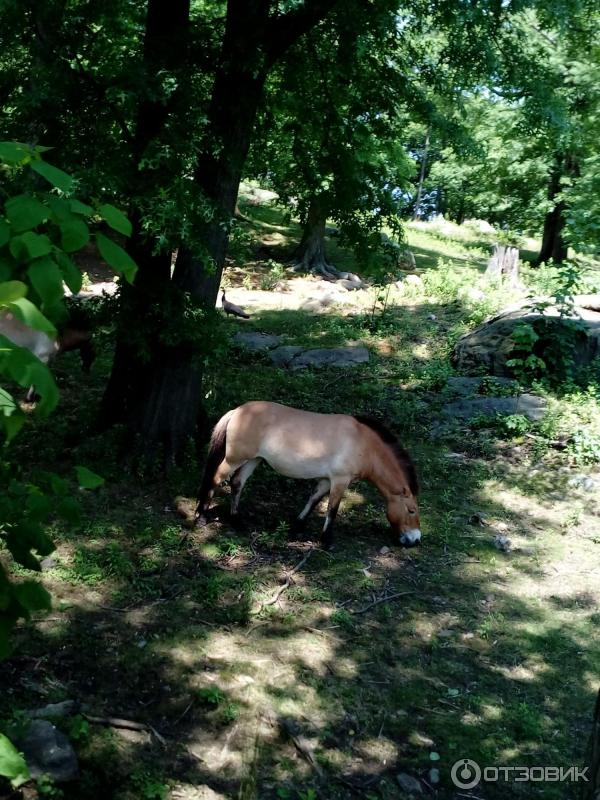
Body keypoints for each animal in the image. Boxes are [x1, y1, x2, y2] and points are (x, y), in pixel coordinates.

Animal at [195, 400, 420, 552]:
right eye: (411, 510)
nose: (416, 539)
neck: (362, 443)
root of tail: (236, 411)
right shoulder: (340, 480)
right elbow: (332, 510)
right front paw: (326, 541)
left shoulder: (326, 480)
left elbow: (313, 501)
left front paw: (296, 526)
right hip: (235, 458)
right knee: (216, 479)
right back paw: (201, 516)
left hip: (253, 460)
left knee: (237, 483)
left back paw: (236, 520)